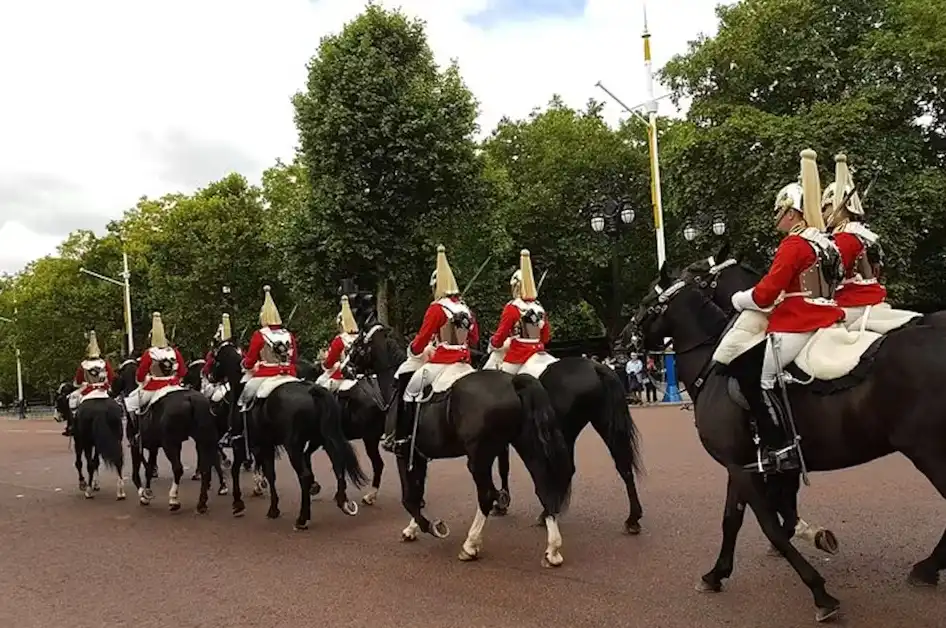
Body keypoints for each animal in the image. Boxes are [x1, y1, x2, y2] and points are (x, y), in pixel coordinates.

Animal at [111, 360, 215, 512]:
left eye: (116, 376)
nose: (110, 391)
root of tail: (190, 399)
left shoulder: (136, 446)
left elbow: (136, 473)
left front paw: (143, 494)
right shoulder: (153, 447)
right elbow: (148, 469)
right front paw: (147, 492)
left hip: (169, 445)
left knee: (178, 468)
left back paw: (174, 500)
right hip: (202, 441)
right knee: (205, 469)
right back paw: (201, 503)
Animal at [210, 344, 368, 528]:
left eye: (215, 359)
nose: (210, 376)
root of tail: (312, 390)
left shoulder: (242, 443)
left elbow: (238, 470)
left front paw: (238, 504)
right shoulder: (266, 444)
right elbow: (270, 474)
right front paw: (273, 508)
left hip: (293, 446)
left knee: (305, 475)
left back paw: (302, 518)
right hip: (324, 438)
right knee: (337, 463)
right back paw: (342, 502)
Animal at [344, 326, 572, 568]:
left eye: (356, 345)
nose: (345, 368)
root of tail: (513, 382)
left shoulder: (403, 454)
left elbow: (409, 497)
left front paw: (431, 526)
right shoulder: (419, 456)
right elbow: (418, 493)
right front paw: (412, 528)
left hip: (479, 458)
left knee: (486, 495)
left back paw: (470, 545)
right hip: (525, 446)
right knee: (543, 487)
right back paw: (553, 549)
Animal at [632, 262, 946, 624]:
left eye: (646, 301)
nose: (621, 341)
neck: (716, 368)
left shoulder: (743, 467)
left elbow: (769, 524)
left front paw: (820, 591)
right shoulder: (748, 464)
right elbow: (736, 520)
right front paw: (716, 574)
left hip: (928, 453)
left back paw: (927, 568)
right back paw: (927, 568)